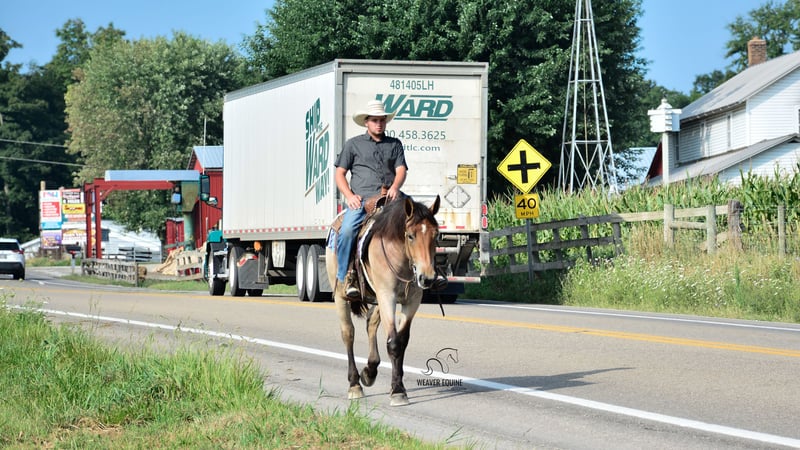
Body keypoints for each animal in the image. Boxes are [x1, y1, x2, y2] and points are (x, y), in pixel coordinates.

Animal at [326, 194, 441, 406]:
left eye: (436, 235)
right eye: (410, 236)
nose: (427, 277)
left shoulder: (412, 301)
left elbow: (401, 341)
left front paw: (397, 386)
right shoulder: (387, 295)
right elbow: (393, 343)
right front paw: (398, 392)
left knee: (371, 324)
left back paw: (369, 371)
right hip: (340, 296)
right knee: (348, 333)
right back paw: (355, 384)